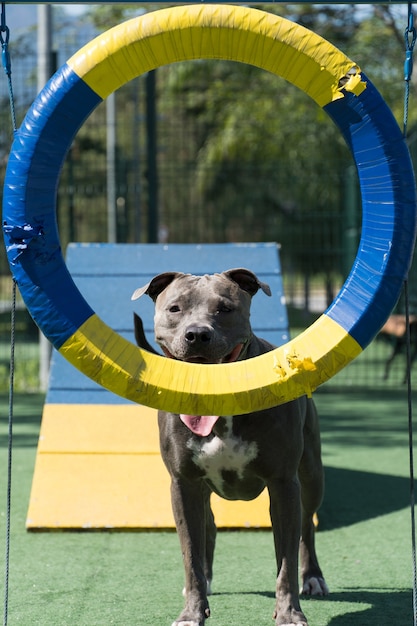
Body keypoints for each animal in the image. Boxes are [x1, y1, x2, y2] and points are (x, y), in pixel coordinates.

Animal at [132, 266, 326, 624]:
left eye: (225, 309)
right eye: (175, 309)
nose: (197, 334)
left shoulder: (283, 484)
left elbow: (286, 560)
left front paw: (289, 612)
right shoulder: (184, 484)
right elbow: (190, 554)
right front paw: (192, 611)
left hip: (311, 474)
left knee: (307, 524)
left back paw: (313, 578)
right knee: (208, 528)